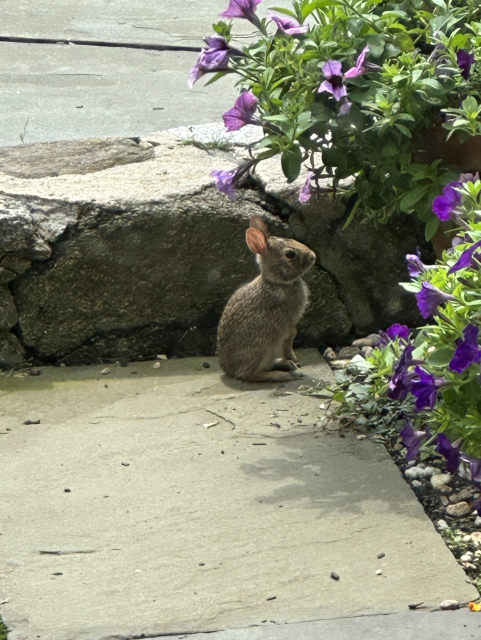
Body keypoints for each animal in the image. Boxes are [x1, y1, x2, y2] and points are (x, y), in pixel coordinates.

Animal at [217, 215, 316, 382]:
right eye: (290, 254)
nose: (313, 256)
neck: (276, 282)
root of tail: (230, 371)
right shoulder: (288, 322)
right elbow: (291, 337)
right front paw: (293, 358)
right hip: (263, 348)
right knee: (250, 374)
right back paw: (282, 374)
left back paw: (285, 365)